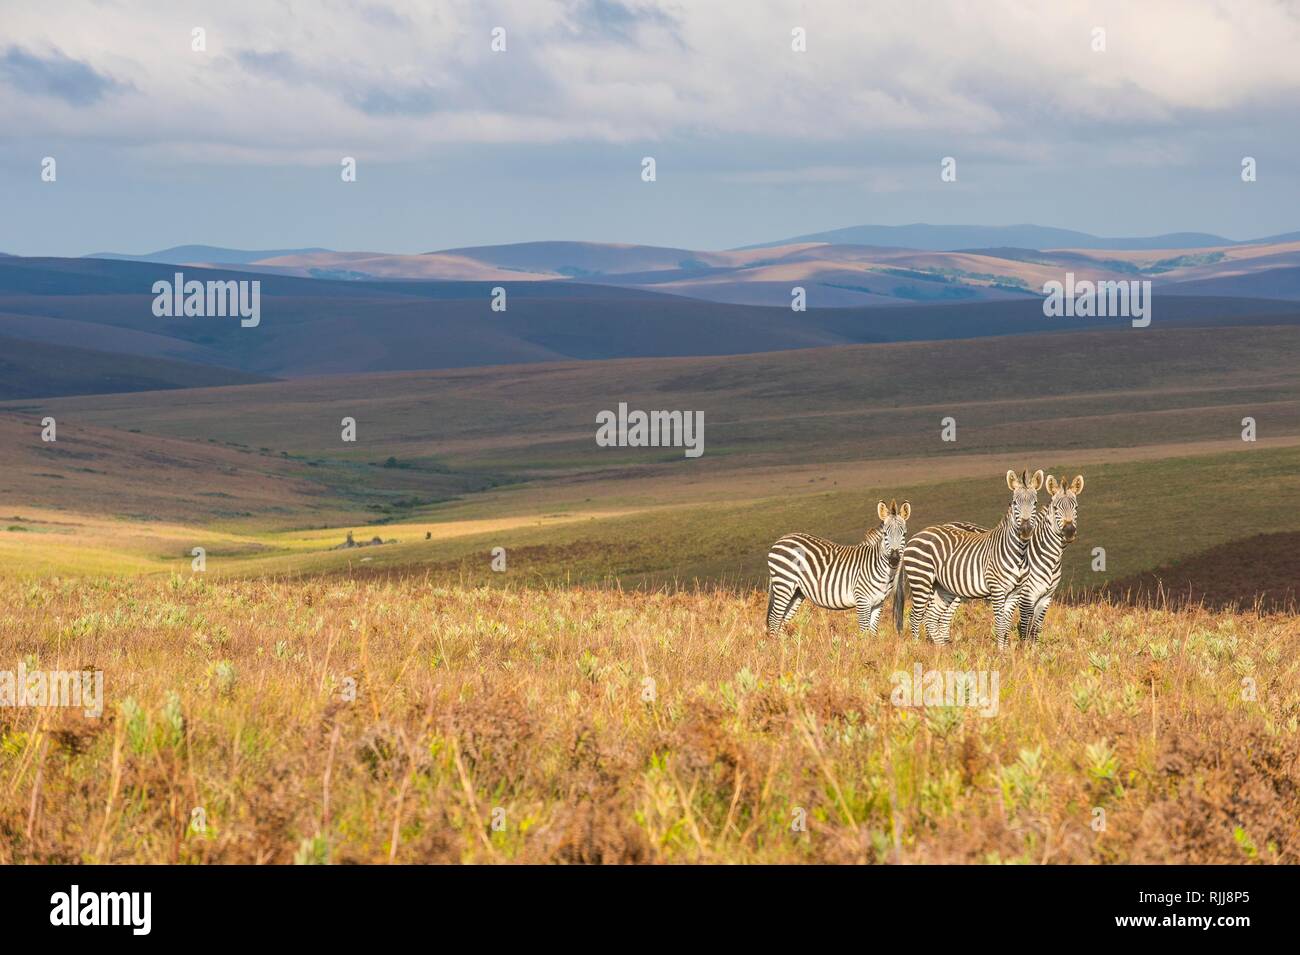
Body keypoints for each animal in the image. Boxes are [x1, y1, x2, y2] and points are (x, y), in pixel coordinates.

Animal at [764, 501, 909, 634]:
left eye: (904, 534)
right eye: (885, 534)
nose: (894, 559)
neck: (878, 566)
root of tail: (781, 539)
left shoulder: (878, 603)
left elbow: (873, 633)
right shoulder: (862, 600)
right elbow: (864, 632)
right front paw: (863, 646)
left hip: (796, 591)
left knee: (782, 620)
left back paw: (784, 645)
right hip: (784, 584)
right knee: (774, 619)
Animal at [899, 470, 1040, 649]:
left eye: (1035, 503)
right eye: (1015, 503)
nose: (1025, 531)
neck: (1019, 553)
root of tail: (917, 535)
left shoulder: (1015, 592)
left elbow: (1007, 624)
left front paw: (1006, 651)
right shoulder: (997, 589)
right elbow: (1000, 624)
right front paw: (1000, 652)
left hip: (942, 587)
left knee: (931, 617)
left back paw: (942, 650)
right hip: (921, 580)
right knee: (915, 616)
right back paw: (917, 648)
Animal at [1019, 475, 1081, 647]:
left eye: (1076, 507)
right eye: (1055, 508)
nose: (1069, 532)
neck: (1051, 560)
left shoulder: (1046, 597)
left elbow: (1036, 627)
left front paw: (1035, 649)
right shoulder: (1027, 596)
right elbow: (1025, 627)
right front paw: (1024, 650)